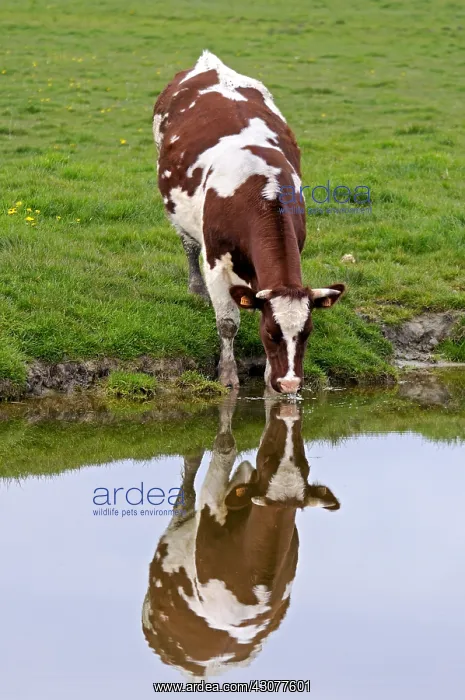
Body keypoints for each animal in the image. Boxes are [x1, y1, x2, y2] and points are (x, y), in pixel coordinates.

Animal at [153, 50, 346, 393]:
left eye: (307, 333)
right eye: (271, 332)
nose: (290, 383)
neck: (259, 189)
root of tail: (209, 62)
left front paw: (269, 378)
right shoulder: (216, 262)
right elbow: (228, 323)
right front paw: (228, 375)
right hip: (177, 212)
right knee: (188, 245)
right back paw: (195, 288)